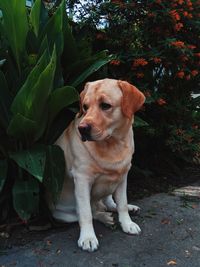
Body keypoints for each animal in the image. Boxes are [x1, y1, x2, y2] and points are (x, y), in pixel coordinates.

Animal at [48, 78, 145, 252]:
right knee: (90, 211)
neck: (113, 145)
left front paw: (127, 223)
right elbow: (85, 213)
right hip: (62, 214)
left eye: (105, 105)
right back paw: (105, 217)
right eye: (85, 107)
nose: (82, 129)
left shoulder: (123, 175)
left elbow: (122, 204)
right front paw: (88, 238)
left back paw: (123, 209)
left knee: (108, 202)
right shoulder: (81, 179)